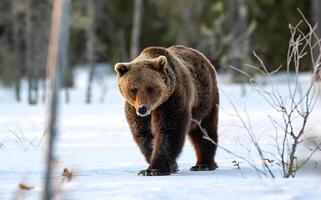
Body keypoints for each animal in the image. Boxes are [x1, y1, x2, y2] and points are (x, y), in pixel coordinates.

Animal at [114, 45, 219, 175]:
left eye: (150, 88)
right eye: (133, 89)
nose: (142, 109)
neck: (155, 107)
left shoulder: (172, 100)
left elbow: (169, 129)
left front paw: (154, 169)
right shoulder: (134, 110)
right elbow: (144, 134)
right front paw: (170, 165)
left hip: (205, 101)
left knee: (204, 131)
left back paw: (203, 164)